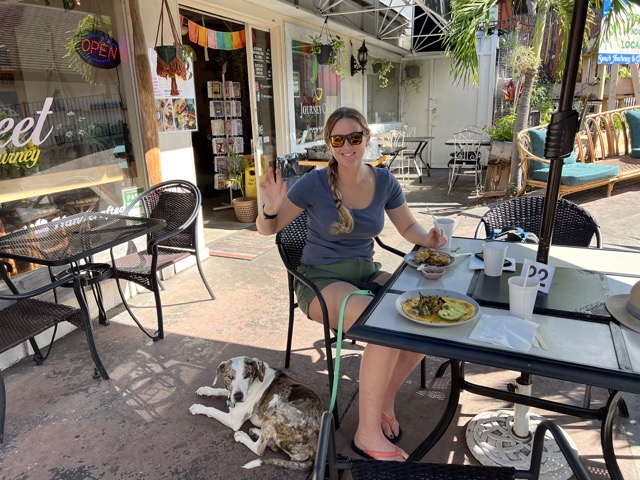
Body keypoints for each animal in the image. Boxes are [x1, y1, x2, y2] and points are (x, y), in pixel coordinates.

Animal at [188, 356, 322, 468]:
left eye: (246, 376)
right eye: (230, 377)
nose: (238, 396)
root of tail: (315, 450)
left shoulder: (233, 420)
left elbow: (211, 409)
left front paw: (198, 408)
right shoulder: (231, 394)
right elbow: (221, 390)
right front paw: (206, 390)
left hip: (276, 408)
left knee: (259, 449)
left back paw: (243, 436)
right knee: (273, 444)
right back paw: (256, 432)